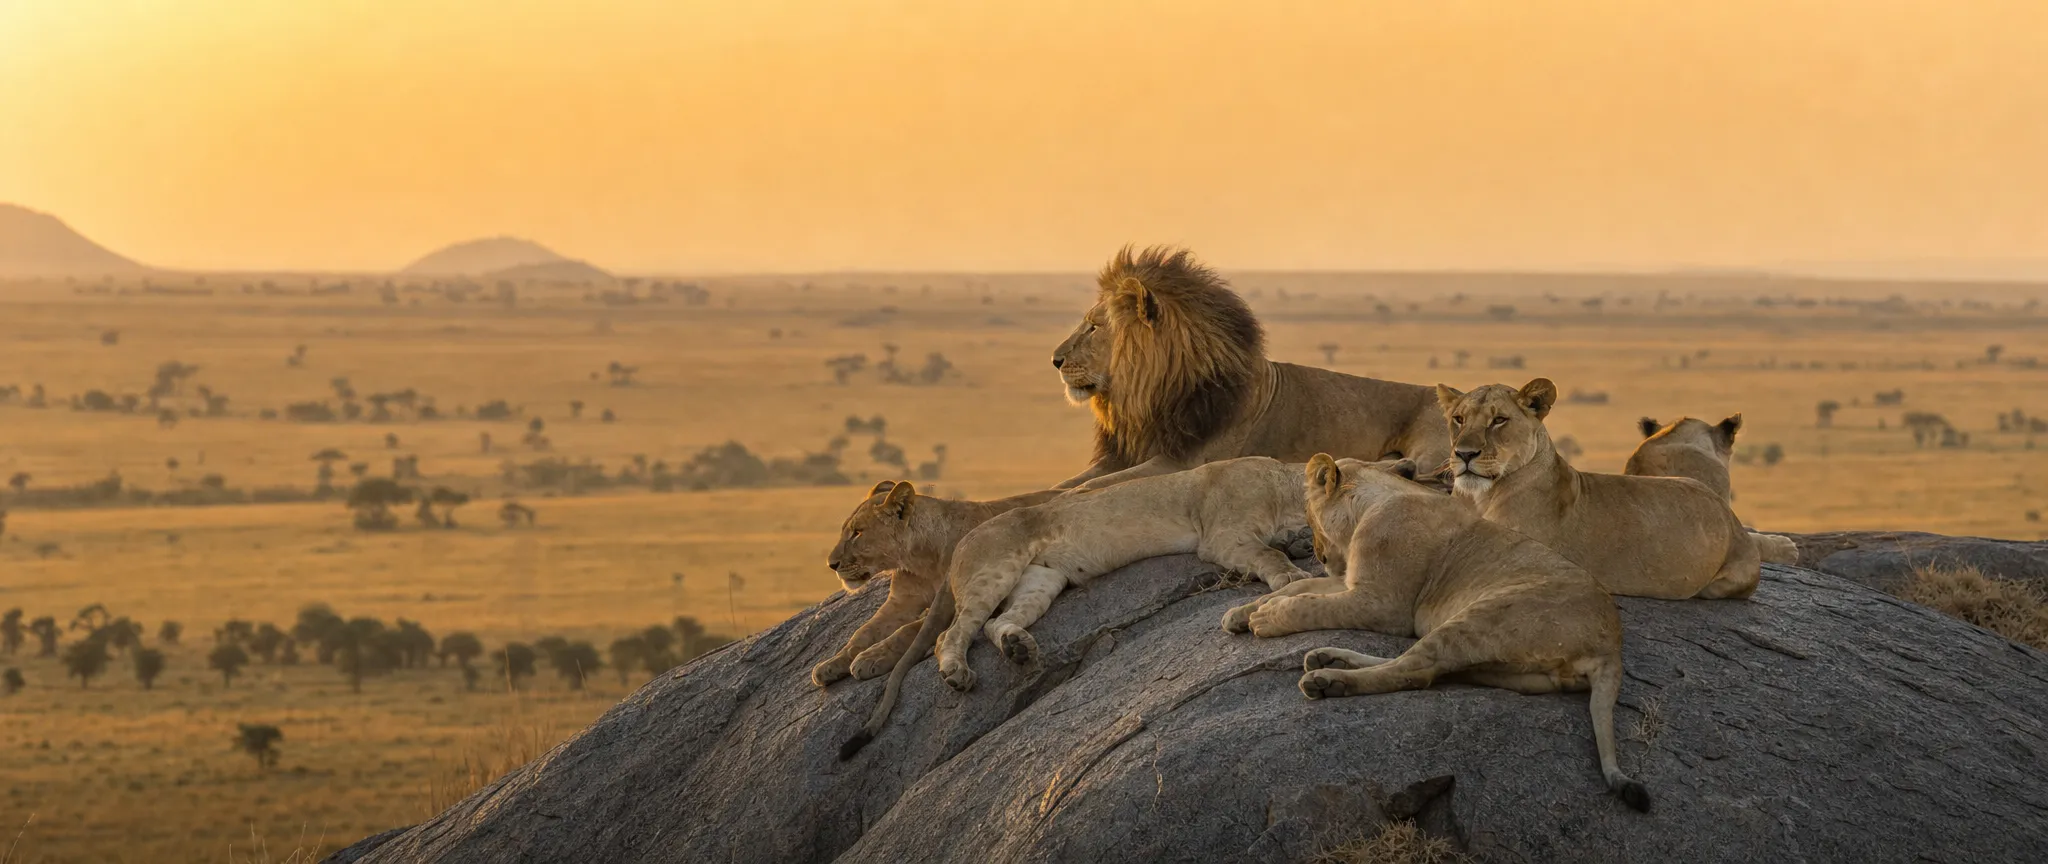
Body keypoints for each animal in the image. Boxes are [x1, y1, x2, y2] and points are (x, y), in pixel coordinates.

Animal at [814, 481, 1060, 688]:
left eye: (857, 533)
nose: (831, 564)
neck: (921, 560)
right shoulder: (901, 602)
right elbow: (864, 631)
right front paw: (831, 665)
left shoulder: (948, 604)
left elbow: (908, 631)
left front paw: (872, 657)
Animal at [1050, 245, 1449, 493]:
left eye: (1093, 326)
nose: (1054, 360)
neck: (1144, 399)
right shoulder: (1125, 455)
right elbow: (1058, 487)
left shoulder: (1182, 463)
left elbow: (1084, 489)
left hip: (1432, 446)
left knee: (1431, 474)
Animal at [1222, 455, 1650, 811]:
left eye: (1308, 518)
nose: (1319, 555)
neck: (1372, 503)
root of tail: (1612, 644)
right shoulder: (1351, 582)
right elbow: (1299, 588)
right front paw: (1242, 613)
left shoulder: (1382, 604)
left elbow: (1309, 603)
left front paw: (1267, 618)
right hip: (1503, 669)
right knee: (1424, 667)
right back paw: (1327, 657)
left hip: (1482, 617)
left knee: (1414, 671)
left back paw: (1328, 681)